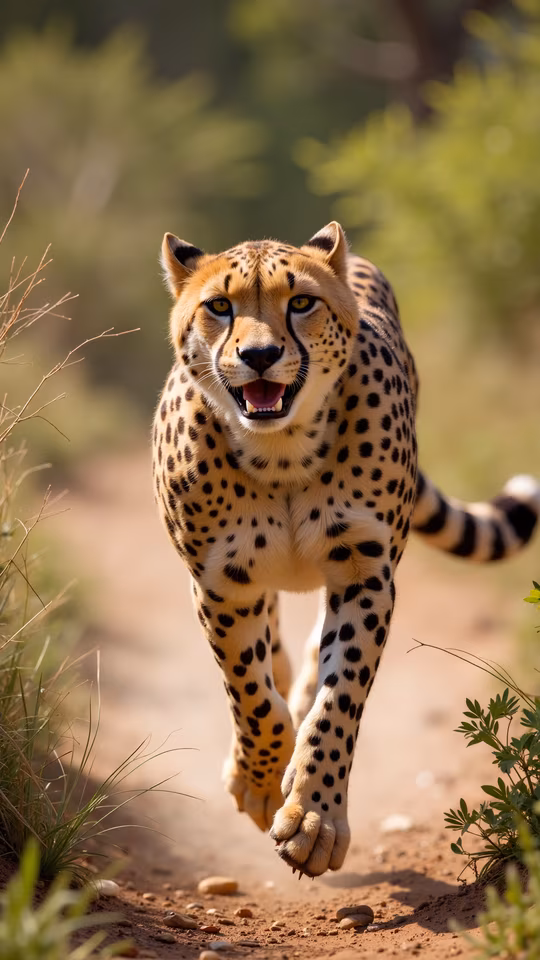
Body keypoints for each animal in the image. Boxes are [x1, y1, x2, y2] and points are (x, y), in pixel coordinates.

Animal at [152, 221, 540, 878]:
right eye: (220, 306)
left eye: (301, 302)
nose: (260, 356)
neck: (280, 452)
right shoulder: (222, 582)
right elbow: (250, 692)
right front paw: (262, 782)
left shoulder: (365, 573)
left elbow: (338, 699)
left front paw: (314, 817)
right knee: (274, 661)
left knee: (309, 665)